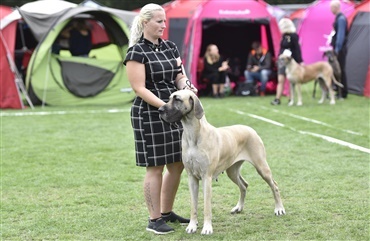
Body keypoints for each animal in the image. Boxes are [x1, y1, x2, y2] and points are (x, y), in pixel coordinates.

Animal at [159, 89, 286, 234]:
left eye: (177, 99)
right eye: (169, 98)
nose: (159, 110)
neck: (192, 134)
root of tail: (250, 128)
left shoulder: (206, 177)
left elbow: (207, 206)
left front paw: (207, 228)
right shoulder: (191, 177)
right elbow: (193, 205)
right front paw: (192, 225)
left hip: (261, 167)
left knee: (274, 185)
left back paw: (279, 209)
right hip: (232, 171)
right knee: (244, 185)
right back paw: (238, 207)